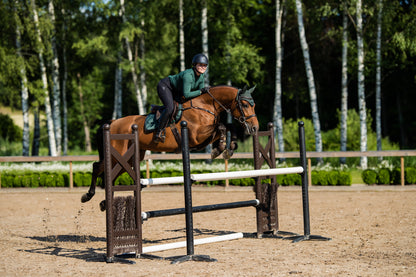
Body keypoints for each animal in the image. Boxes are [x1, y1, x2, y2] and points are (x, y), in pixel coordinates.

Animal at [79, 84, 258, 203]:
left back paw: (105, 201)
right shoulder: (197, 137)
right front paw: (219, 149)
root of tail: (112, 123)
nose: (255, 127)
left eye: (253, 104)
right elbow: (221, 127)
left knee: (111, 173)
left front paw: (230, 148)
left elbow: (228, 127)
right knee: (98, 167)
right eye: (244, 104)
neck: (205, 106)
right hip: (119, 155)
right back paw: (88, 195)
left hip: (129, 158)